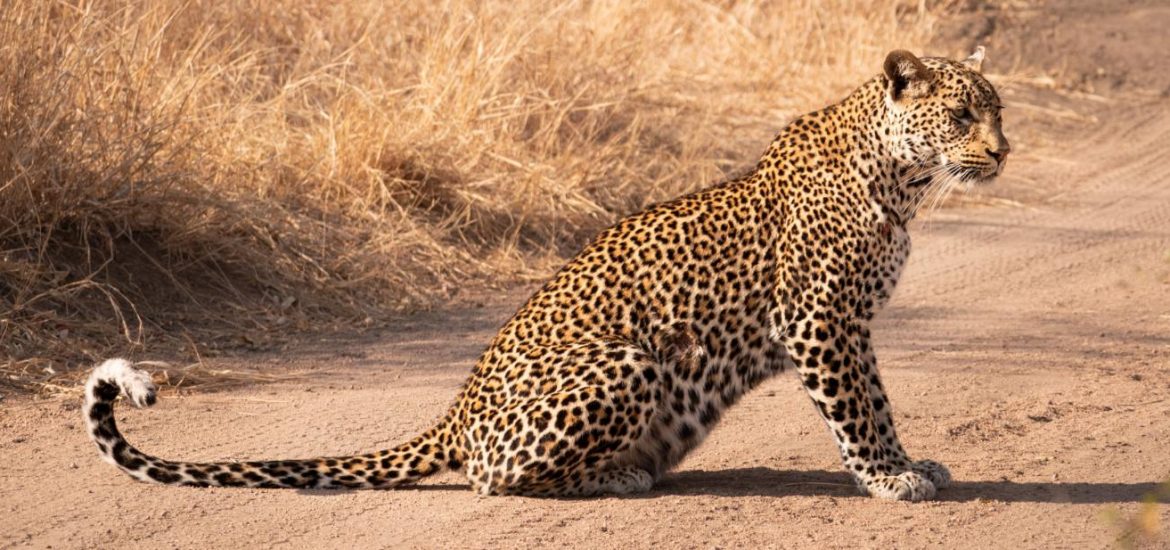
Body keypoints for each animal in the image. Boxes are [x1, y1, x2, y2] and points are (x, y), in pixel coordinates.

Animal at [86, 48, 1010, 503]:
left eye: (999, 111)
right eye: (963, 114)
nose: (1004, 151)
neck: (902, 179)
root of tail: (457, 415)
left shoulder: (850, 325)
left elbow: (879, 400)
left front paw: (912, 465)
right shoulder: (821, 319)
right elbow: (859, 412)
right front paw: (890, 478)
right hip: (630, 363)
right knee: (493, 481)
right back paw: (617, 476)